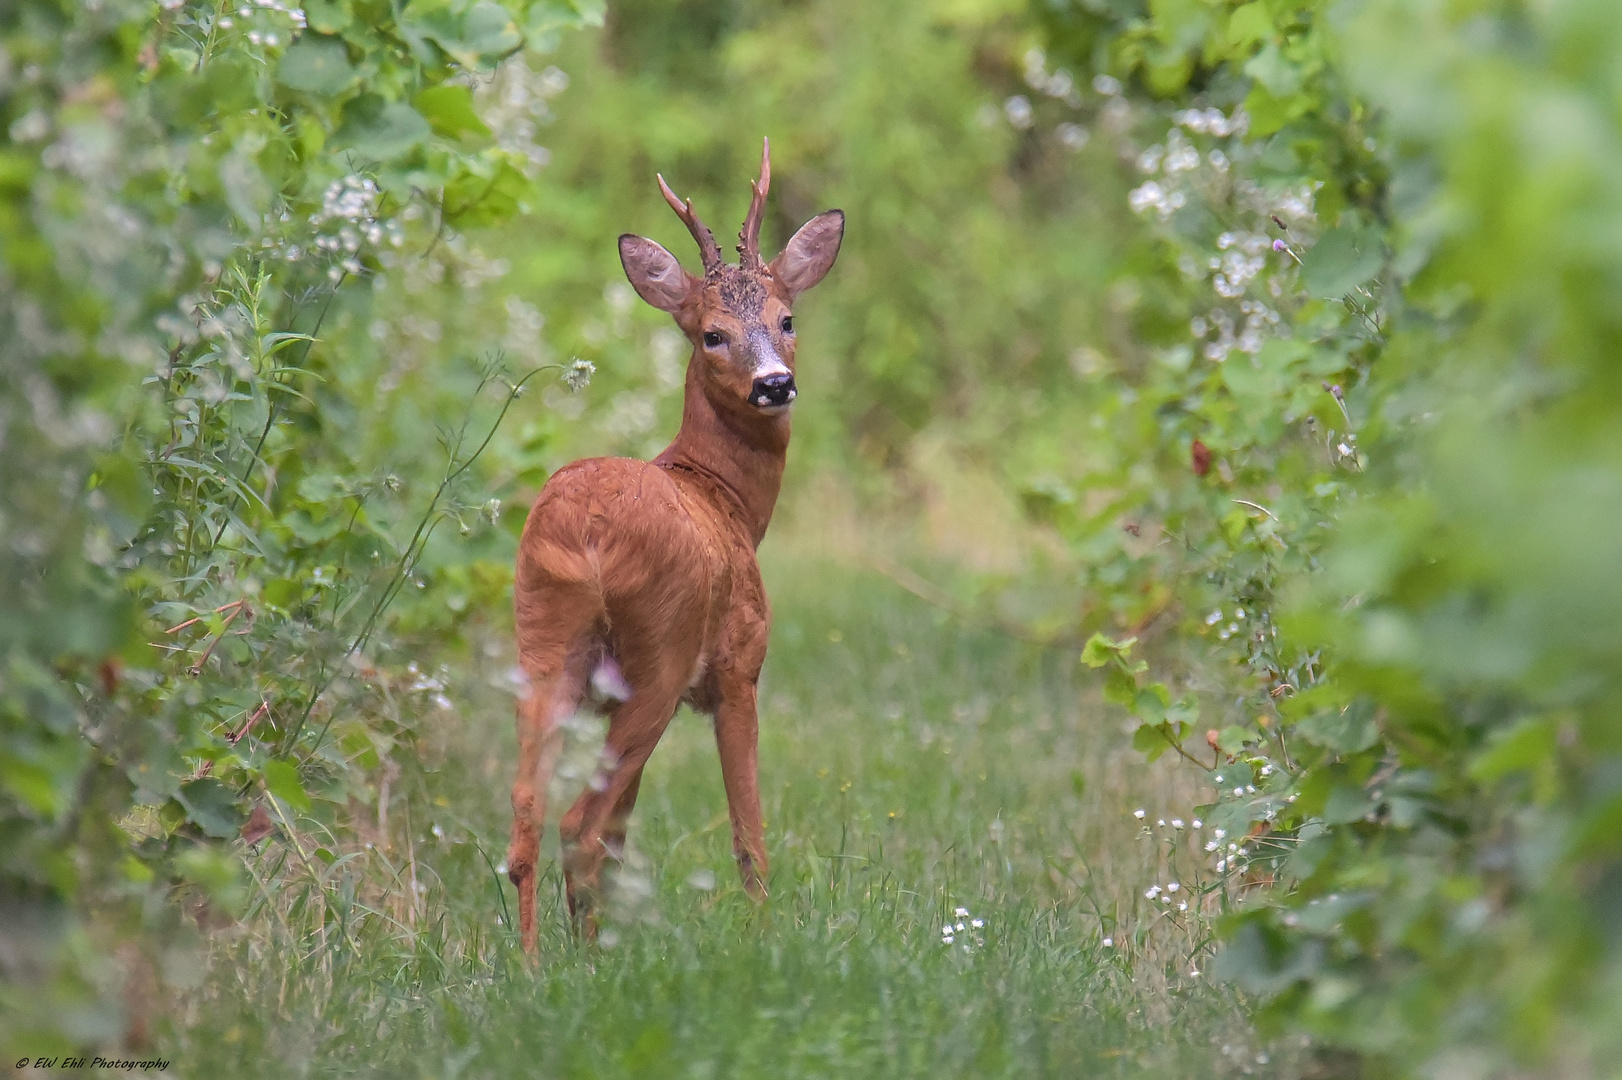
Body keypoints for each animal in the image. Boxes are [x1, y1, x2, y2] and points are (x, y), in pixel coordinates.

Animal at [506, 137, 843, 953]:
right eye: (711, 333)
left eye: (788, 318)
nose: (775, 384)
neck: (726, 498)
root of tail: (585, 526)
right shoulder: (739, 667)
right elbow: (749, 831)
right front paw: (765, 933)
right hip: (660, 648)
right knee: (579, 823)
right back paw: (586, 958)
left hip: (542, 643)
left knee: (530, 814)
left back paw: (536, 965)